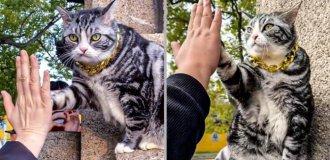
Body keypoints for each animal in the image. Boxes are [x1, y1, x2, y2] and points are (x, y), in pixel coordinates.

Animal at [52, 1, 164, 154]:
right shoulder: (82, 89)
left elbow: (134, 120)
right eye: (73, 37)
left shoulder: (135, 91)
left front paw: (128, 144)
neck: (98, 70)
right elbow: (62, 97)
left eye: (96, 37)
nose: (83, 49)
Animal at [217, 2, 314, 159]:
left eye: (268, 26)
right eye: (249, 29)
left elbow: (291, 149)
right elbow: (230, 71)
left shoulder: (300, 111)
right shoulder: (245, 89)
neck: (272, 67)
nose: (254, 36)